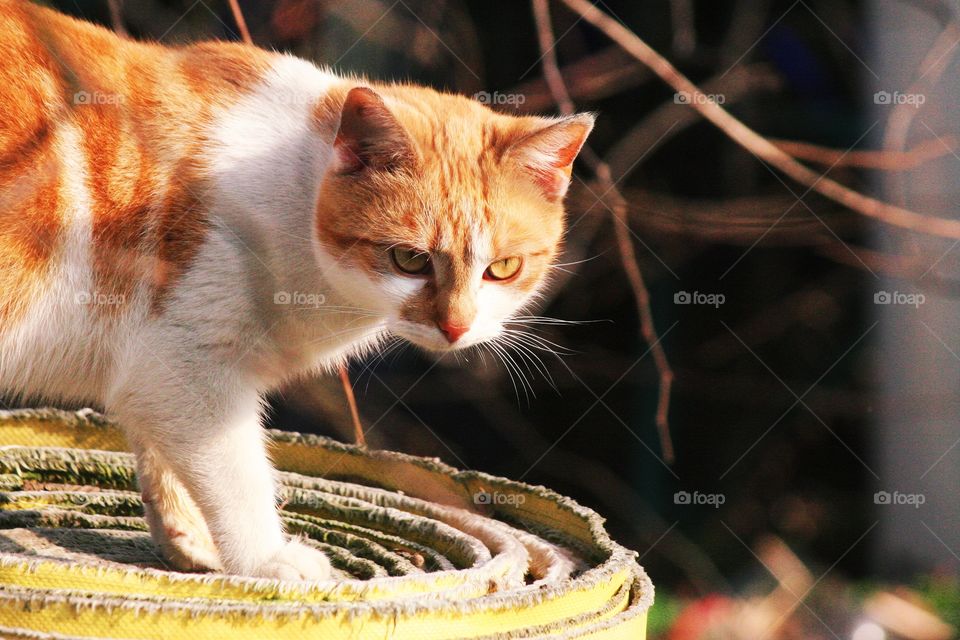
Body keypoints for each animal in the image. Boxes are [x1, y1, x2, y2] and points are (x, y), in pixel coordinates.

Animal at [0, 0, 592, 580]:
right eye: (409, 259)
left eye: (504, 268)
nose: (456, 326)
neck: (293, 190)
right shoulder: (188, 368)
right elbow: (238, 476)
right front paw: (265, 558)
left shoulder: (150, 374)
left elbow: (159, 456)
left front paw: (189, 542)